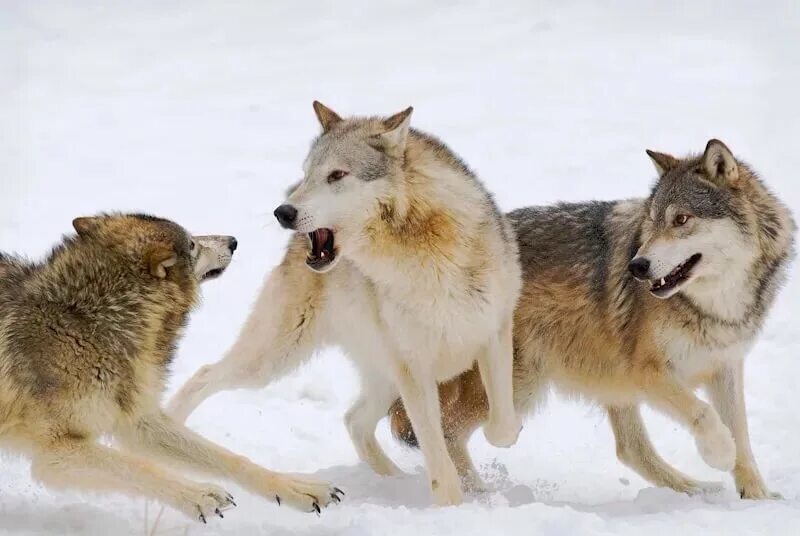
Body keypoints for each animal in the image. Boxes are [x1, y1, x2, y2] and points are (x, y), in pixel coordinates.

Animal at [0, 215, 340, 524]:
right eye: (191, 245)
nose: (233, 241)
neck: (88, 320)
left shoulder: (138, 422)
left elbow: (230, 458)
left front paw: (296, 487)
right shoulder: (57, 452)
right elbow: (139, 467)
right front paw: (198, 495)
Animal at [167, 101, 524, 506]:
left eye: (337, 174)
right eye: (307, 173)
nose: (283, 212)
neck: (425, 254)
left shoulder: (493, 335)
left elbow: (503, 428)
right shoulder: (414, 368)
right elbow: (438, 455)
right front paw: (450, 506)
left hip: (382, 377)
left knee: (354, 420)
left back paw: (393, 481)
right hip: (272, 361)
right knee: (203, 375)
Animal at [388, 138, 792, 498]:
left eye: (681, 219)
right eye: (653, 221)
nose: (637, 266)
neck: (712, 306)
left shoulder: (724, 366)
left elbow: (742, 436)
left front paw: (758, 497)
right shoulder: (646, 371)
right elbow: (707, 417)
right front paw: (719, 455)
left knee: (631, 450)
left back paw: (695, 489)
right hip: (520, 386)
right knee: (447, 430)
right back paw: (478, 495)